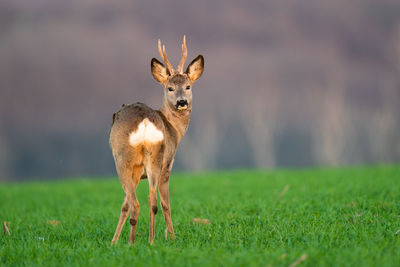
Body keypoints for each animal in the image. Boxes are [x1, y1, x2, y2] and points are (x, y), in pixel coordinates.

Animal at [108, 36, 205, 247]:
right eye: (170, 88)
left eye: (188, 86)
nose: (182, 102)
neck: (174, 129)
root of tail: (144, 121)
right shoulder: (164, 165)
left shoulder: (165, 166)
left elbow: (132, 204)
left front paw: (114, 242)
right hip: (153, 157)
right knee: (149, 200)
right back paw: (149, 240)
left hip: (126, 160)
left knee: (138, 202)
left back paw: (135, 242)